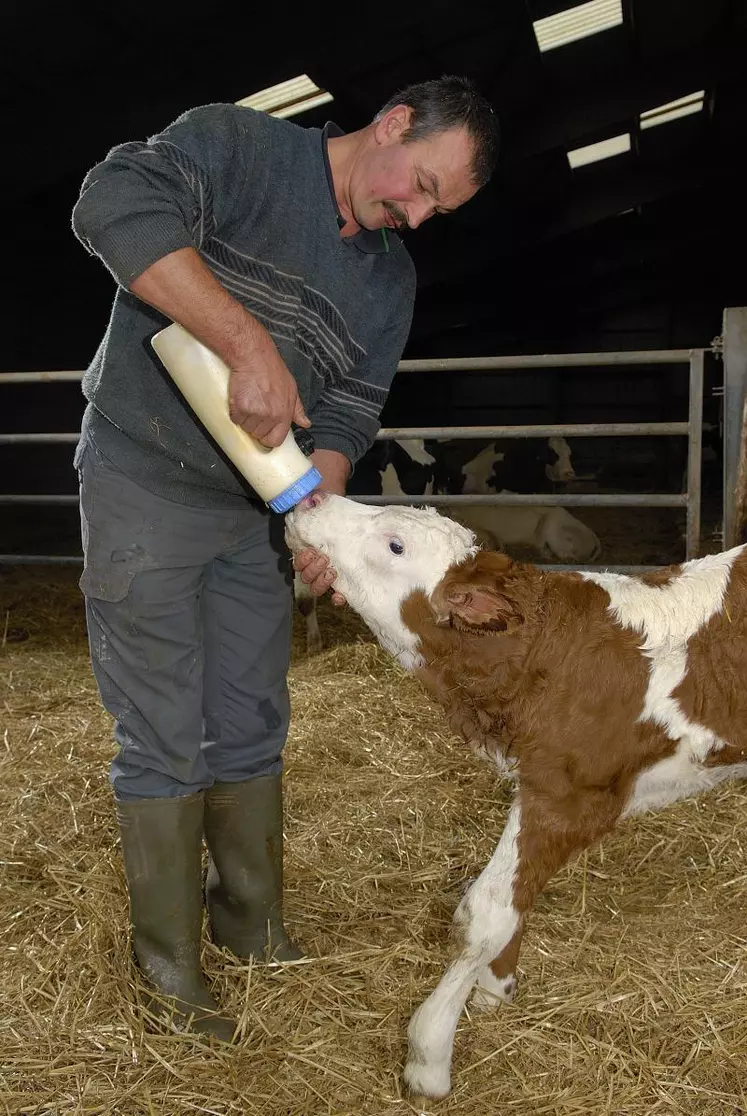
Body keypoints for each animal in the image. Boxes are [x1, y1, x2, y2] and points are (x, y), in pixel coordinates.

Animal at [285, 495, 745, 1098]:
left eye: (395, 544)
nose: (314, 497)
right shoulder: (540, 783)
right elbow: (509, 898)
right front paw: (494, 987)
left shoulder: (572, 796)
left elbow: (482, 911)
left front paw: (429, 1054)